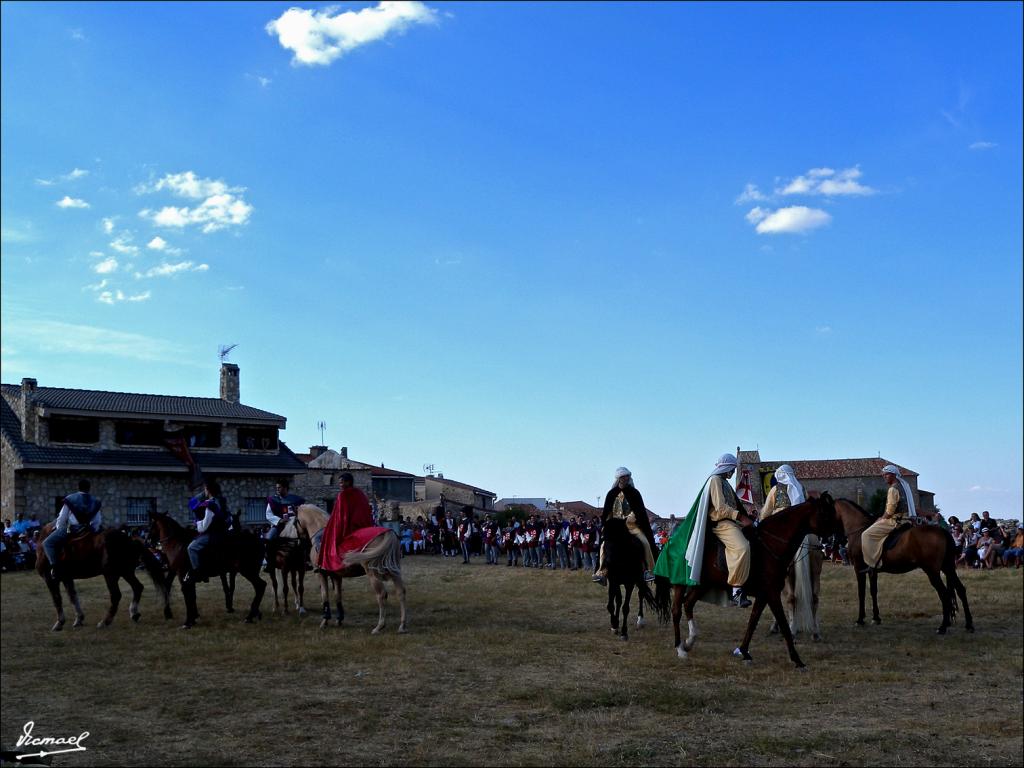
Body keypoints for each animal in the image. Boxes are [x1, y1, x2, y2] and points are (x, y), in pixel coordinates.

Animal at [33, 528, 167, 634]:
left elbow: (57, 599)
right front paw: (79, 619)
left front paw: (59, 623)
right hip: (126, 573)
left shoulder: (50, 579)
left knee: (116, 595)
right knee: (137, 587)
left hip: (111, 575)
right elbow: (73, 597)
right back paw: (134, 613)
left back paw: (105, 622)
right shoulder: (67, 578)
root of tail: (129, 540)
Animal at [292, 501, 407, 634]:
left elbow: (325, 596)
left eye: (294, 522)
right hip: (394, 570)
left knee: (382, 595)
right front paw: (339, 619)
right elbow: (337, 596)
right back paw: (402, 625)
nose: (298, 541)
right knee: (401, 592)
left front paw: (325, 621)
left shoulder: (321, 574)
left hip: (373, 573)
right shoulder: (336, 576)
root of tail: (388, 532)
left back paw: (379, 626)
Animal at [667, 495, 835, 671]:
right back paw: (680, 648)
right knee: (676, 610)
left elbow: (753, 621)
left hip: (702, 584)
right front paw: (797, 660)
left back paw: (689, 642)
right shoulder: (772, 593)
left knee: (688, 604)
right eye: (825, 514)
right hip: (680, 584)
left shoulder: (764, 595)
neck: (771, 544)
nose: (830, 544)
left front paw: (744, 652)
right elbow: (783, 624)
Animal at [835, 499, 970, 638]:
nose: (837, 540)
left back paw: (943, 627)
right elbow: (873, 591)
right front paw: (876, 618)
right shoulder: (872, 570)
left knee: (944, 594)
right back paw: (968, 625)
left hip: (932, 571)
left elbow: (861, 593)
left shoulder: (858, 568)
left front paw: (860, 620)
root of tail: (942, 531)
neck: (859, 531)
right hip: (948, 568)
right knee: (960, 590)